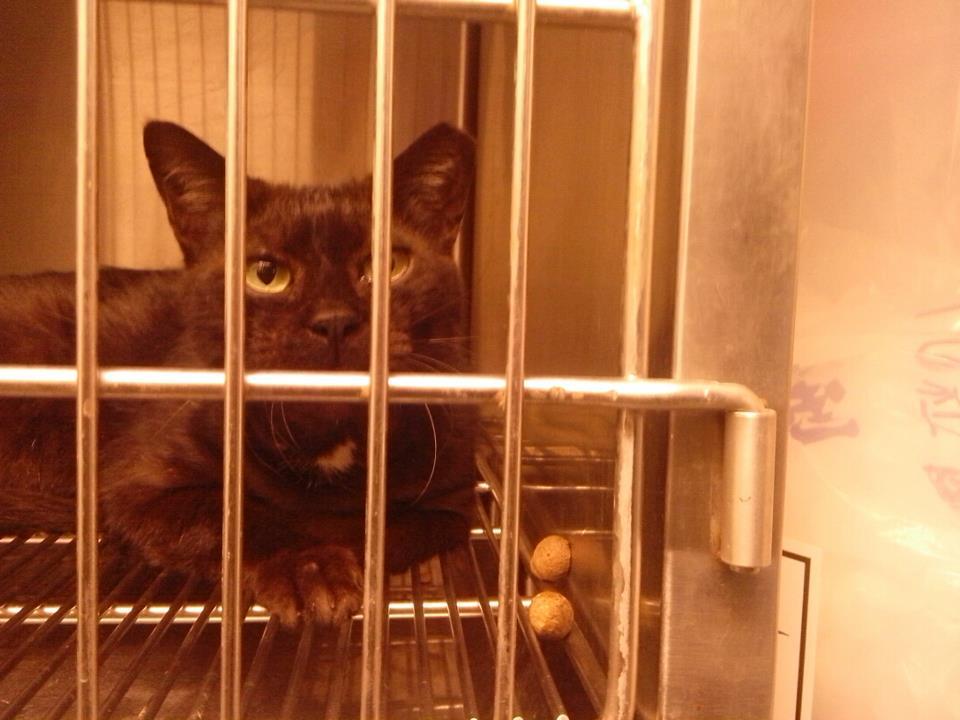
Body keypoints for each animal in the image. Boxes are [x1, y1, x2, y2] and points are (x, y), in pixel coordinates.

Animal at [0, 120, 476, 626]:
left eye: (388, 267)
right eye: (265, 273)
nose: (334, 320)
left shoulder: (450, 503)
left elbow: (382, 530)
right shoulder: (140, 485)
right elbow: (232, 516)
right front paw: (309, 570)